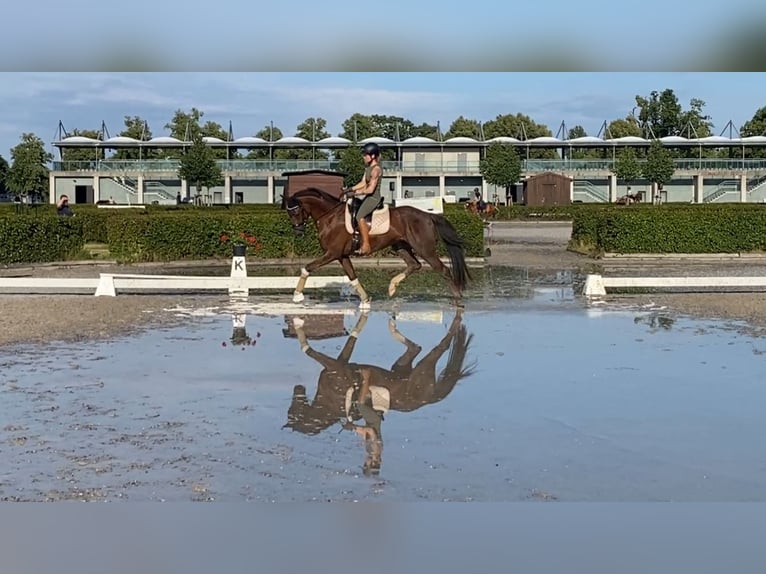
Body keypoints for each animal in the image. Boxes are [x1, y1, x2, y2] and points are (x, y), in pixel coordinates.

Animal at [284, 187, 472, 309]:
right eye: (289, 213)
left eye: (295, 211)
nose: (298, 231)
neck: (330, 216)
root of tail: (428, 215)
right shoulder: (342, 256)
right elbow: (352, 276)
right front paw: (365, 301)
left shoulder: (331, 254)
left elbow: (307, 267)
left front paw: (297, 295)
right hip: (400, 246)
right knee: (414, 265)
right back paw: (392, 287)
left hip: (425, 249)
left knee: (443, 270)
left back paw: (458, 300)